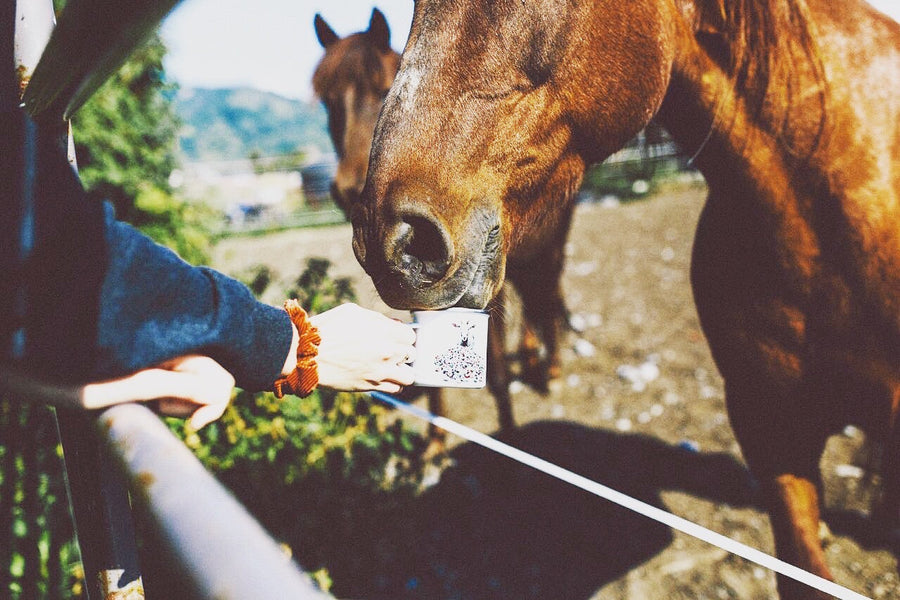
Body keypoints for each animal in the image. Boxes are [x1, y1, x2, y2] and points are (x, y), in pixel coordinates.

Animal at [312, 7, 572, 448]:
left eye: (383, 89)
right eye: (328, 101)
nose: (347, 189)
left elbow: (497, 372)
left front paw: (508, 436)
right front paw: (436, 439)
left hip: (551, 246)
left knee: (549, 293)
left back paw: (552, 368)